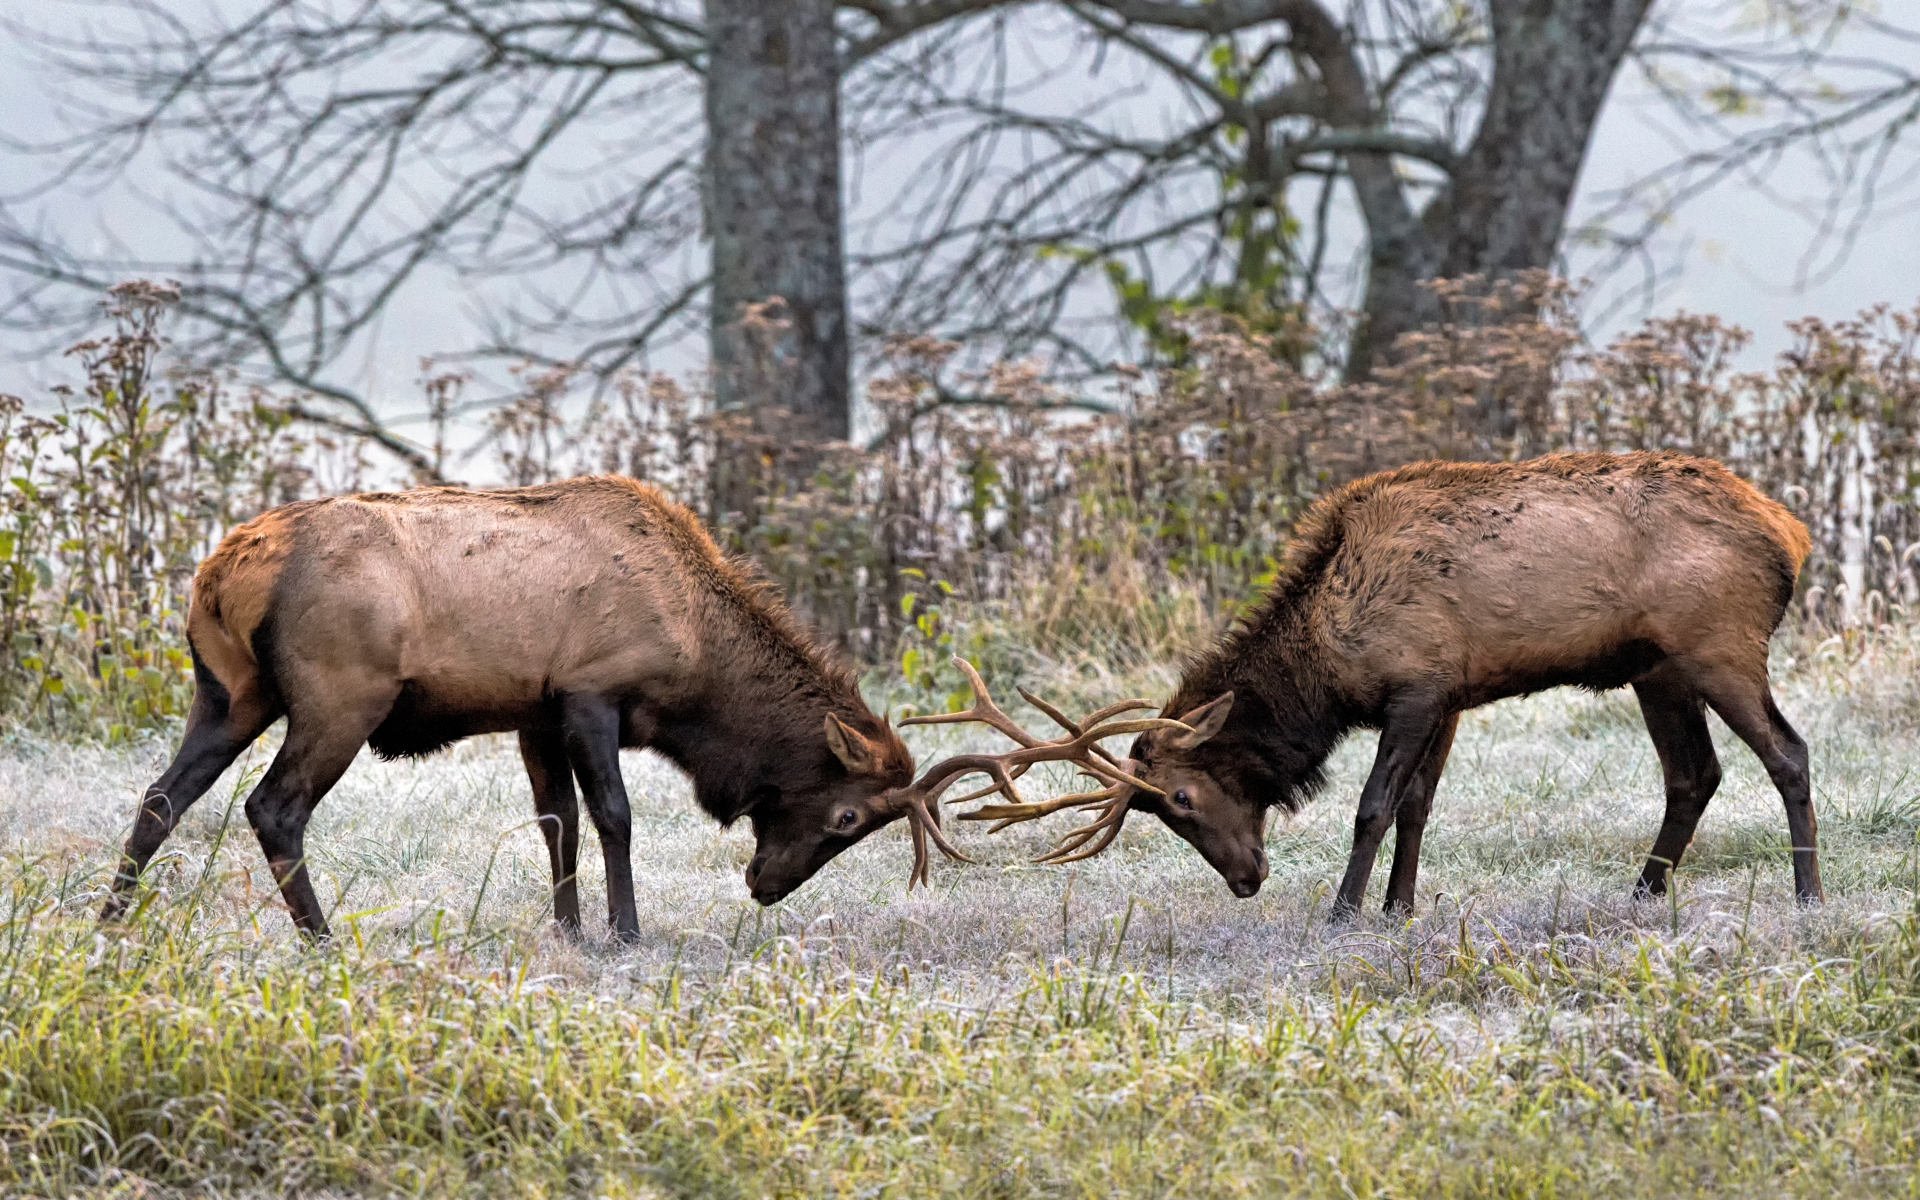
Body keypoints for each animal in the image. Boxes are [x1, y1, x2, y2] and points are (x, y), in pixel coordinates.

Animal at [101, 474, 956, 936]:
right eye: (847, 817)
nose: (764, 885)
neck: (695, 655)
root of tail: (220, 574)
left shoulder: (534, 712)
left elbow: (557, 820)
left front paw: (569, 930)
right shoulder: (590, 691)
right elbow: (613, 815)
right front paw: (624, 931)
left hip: (228, 693)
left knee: (161, 796)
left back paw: (108, 924)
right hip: (340, 694)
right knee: (273, 807)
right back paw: (324, 941)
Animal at [921, 451, 1820, 917]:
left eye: (1178, 798)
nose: (1245, 879)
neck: (1326, 670)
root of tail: (1791, 534)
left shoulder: (1416, 682)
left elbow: (1373, 805)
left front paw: (1345, 909)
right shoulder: (1452, 692)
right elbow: (1420, 805)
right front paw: (1399, 907)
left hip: (1719, 643)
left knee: (1788, 751)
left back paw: (1806, 893)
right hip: (1653, 668)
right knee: (1693, 774)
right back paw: (1640, 892)